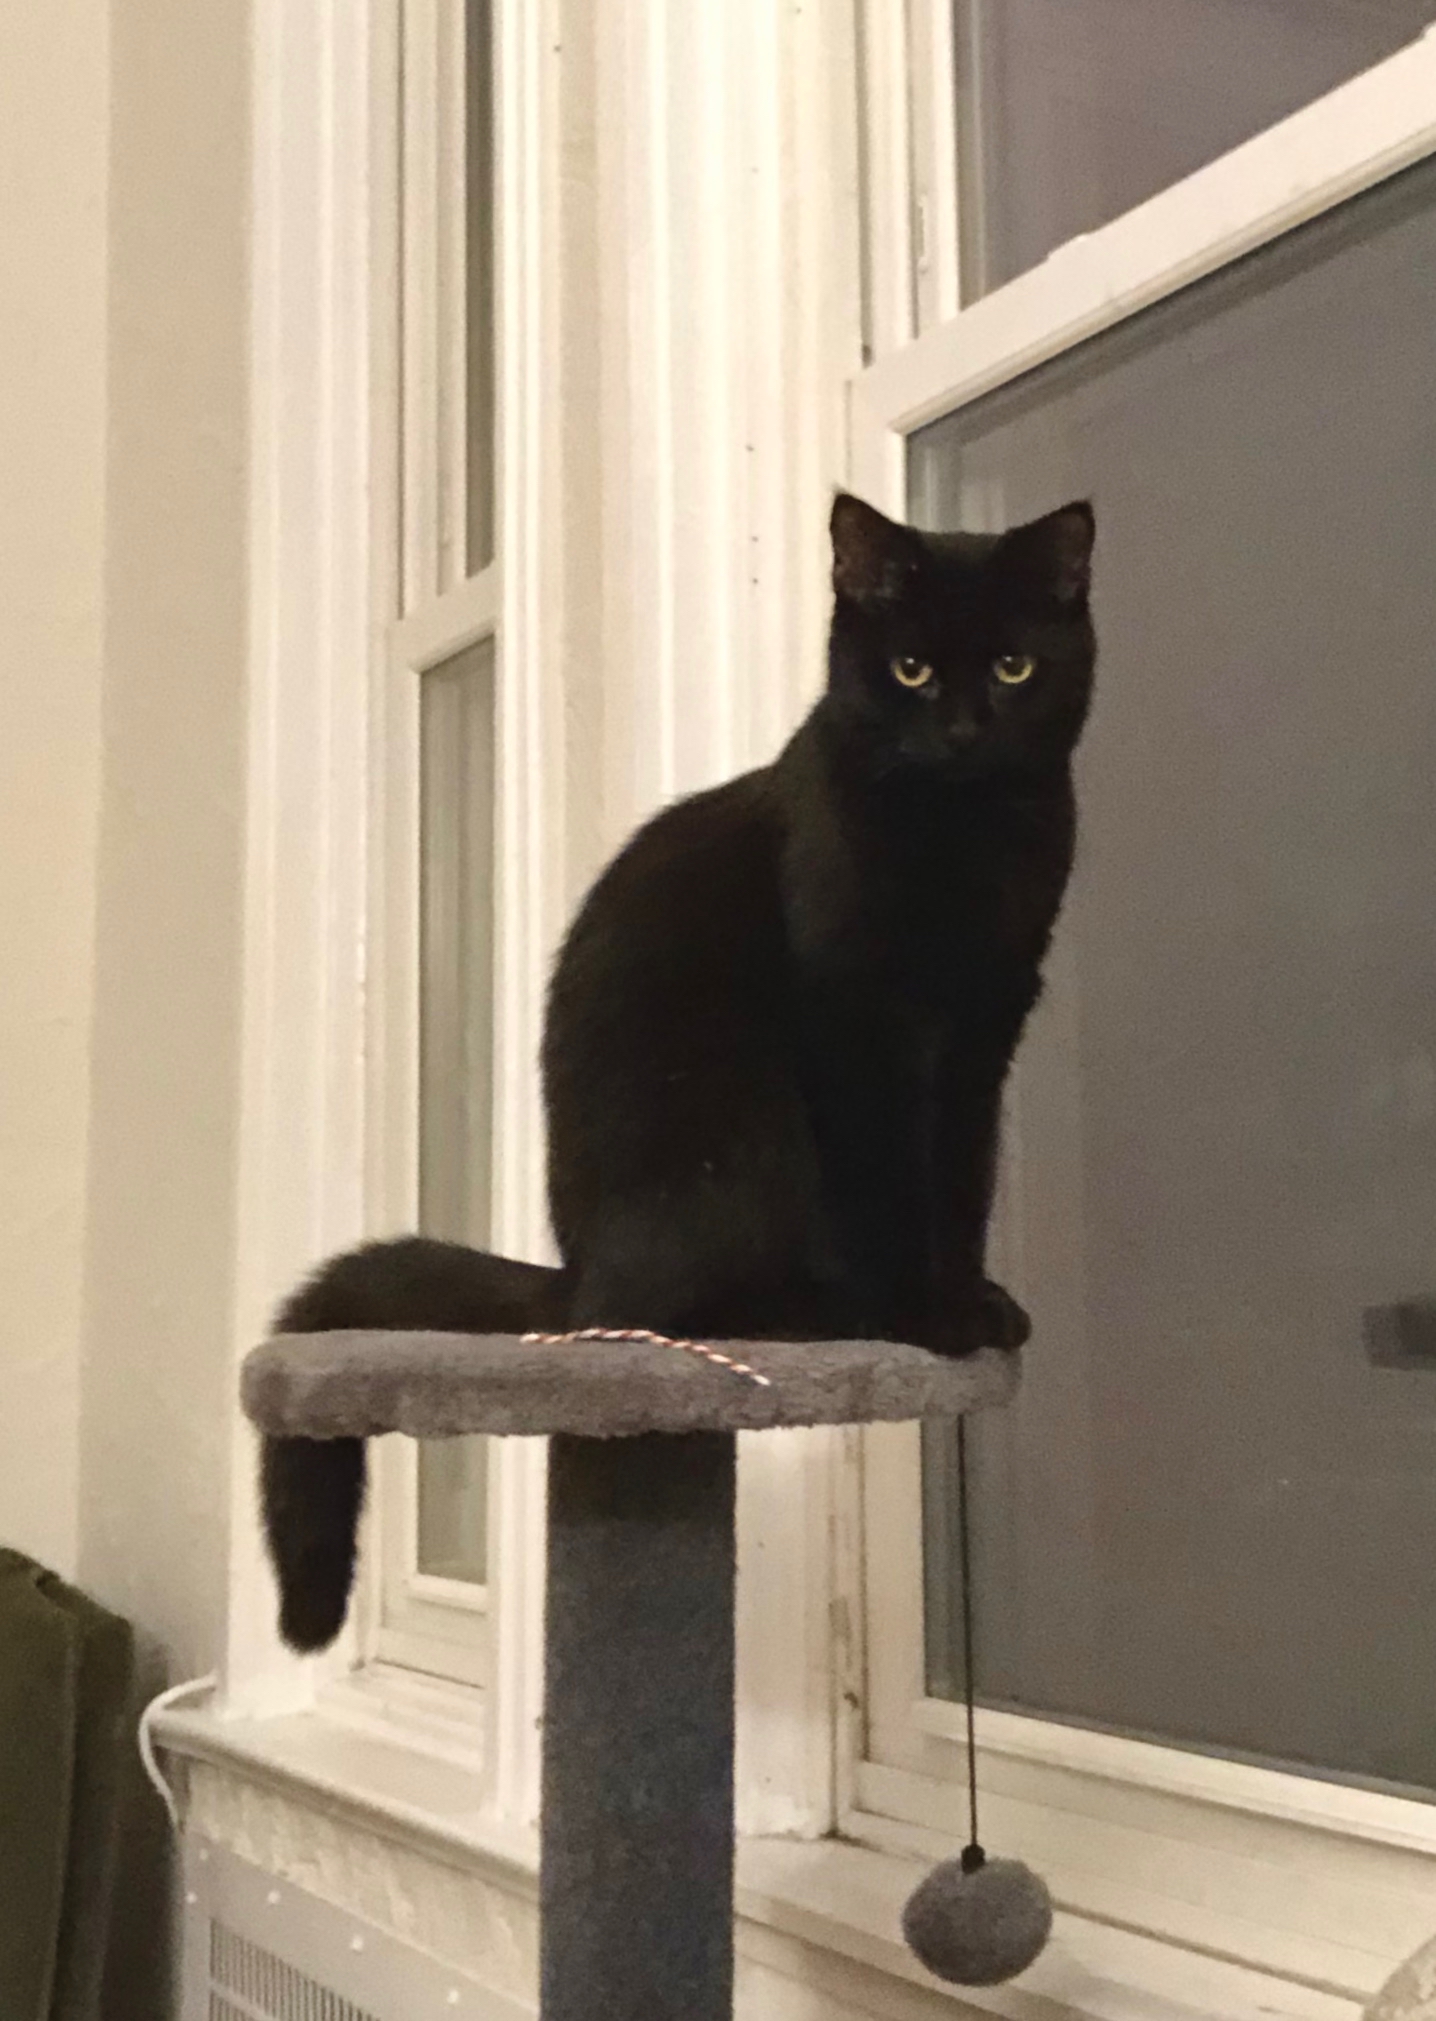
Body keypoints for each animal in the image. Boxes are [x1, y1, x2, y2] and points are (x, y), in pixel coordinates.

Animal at [260, 493, 1090, 1657]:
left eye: (1014, 666)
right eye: (912, 667)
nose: (965, 729)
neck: (965, 845)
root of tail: (574, 1274)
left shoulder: (983, 1030)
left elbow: (960, 1183)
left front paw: (969, 1299)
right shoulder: (855, 1020)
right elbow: (888, 1180)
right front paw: (918, 1315)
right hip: (739, 1130)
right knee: (678, 1306)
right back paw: (813, 1310)